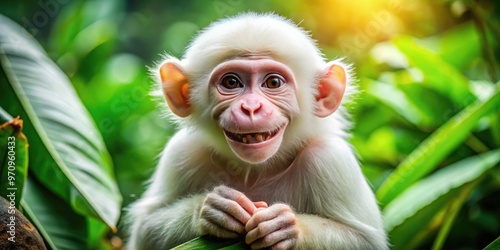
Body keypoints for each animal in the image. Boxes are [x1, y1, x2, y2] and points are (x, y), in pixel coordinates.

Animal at [127, 12, 388, 249]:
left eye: (273, 83)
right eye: (231, 82)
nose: (251, 107)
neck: (255, 170)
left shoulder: (330, 158)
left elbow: (362, 239)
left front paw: (286, 227)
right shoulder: (182, 151)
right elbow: (147, 230)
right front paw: (212, 210)